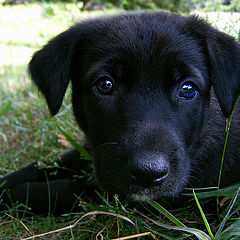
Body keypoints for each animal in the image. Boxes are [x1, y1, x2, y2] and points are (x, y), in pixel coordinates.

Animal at [0, 11, 240, 214]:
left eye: (188, 89)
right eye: (105, 85)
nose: (148, 173)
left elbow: (61, 190)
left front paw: (14, 193)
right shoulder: (95, 150)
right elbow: (47, 164)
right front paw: (7, 182)